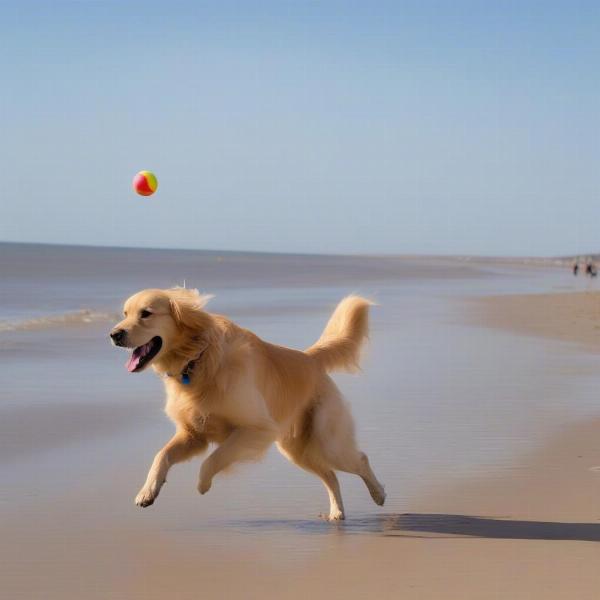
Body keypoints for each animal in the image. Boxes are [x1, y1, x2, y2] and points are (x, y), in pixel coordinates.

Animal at [110, 288, 384, 520]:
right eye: (124, 314)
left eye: (146, 313)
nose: (114, 335)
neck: (197, 359)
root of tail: (310, 358)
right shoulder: (193, 435)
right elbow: (162, 455)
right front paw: (147, 492)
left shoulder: (255, 429)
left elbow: (214, 458)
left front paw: (203, 483)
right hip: (296, 449)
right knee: (330, 475)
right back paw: (337, 512)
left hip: (326, 440)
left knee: (360, 459)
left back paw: (379, 494)